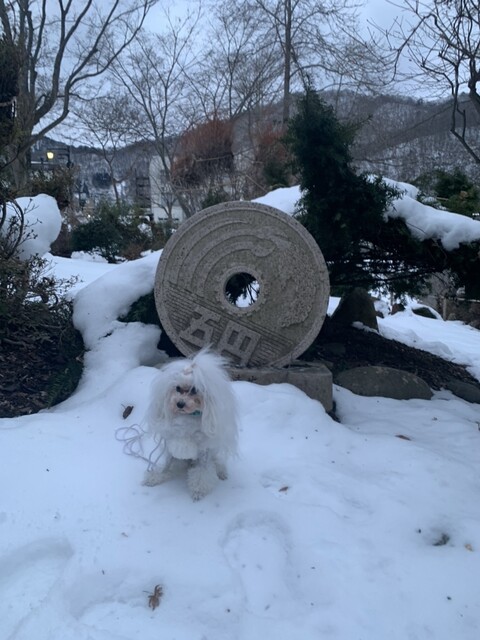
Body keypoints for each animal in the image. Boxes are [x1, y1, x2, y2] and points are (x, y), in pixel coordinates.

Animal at [142, 348, 238, 500]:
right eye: (177, 388)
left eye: (194, 390)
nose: (180, 404)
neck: (187, 417)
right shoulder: (172, 447)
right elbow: (167, 466)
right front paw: (156, 477)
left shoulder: (204, 451)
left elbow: (202, 472)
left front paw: (198, 490)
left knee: (216, 462)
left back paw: (221, 472)